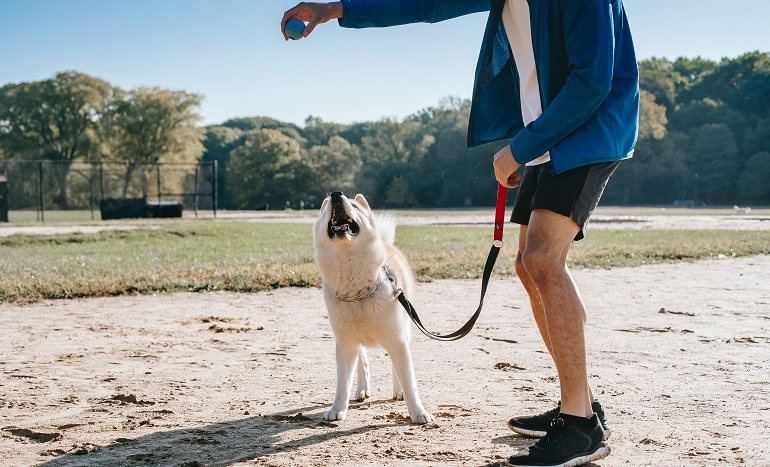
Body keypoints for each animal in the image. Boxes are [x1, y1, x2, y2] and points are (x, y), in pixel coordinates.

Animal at [312, 192, 432, 426]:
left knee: (395, 368)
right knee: (363, 362)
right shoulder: (346, 343)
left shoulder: (397, 339)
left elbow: (409, 381)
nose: (336, 194)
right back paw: (362, 389)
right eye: (326, 207)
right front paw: (337, 408)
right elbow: (343, 381)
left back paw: (397, 391)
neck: (357, 292)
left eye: (355, 205)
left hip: (404, 332)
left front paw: (418, 412)